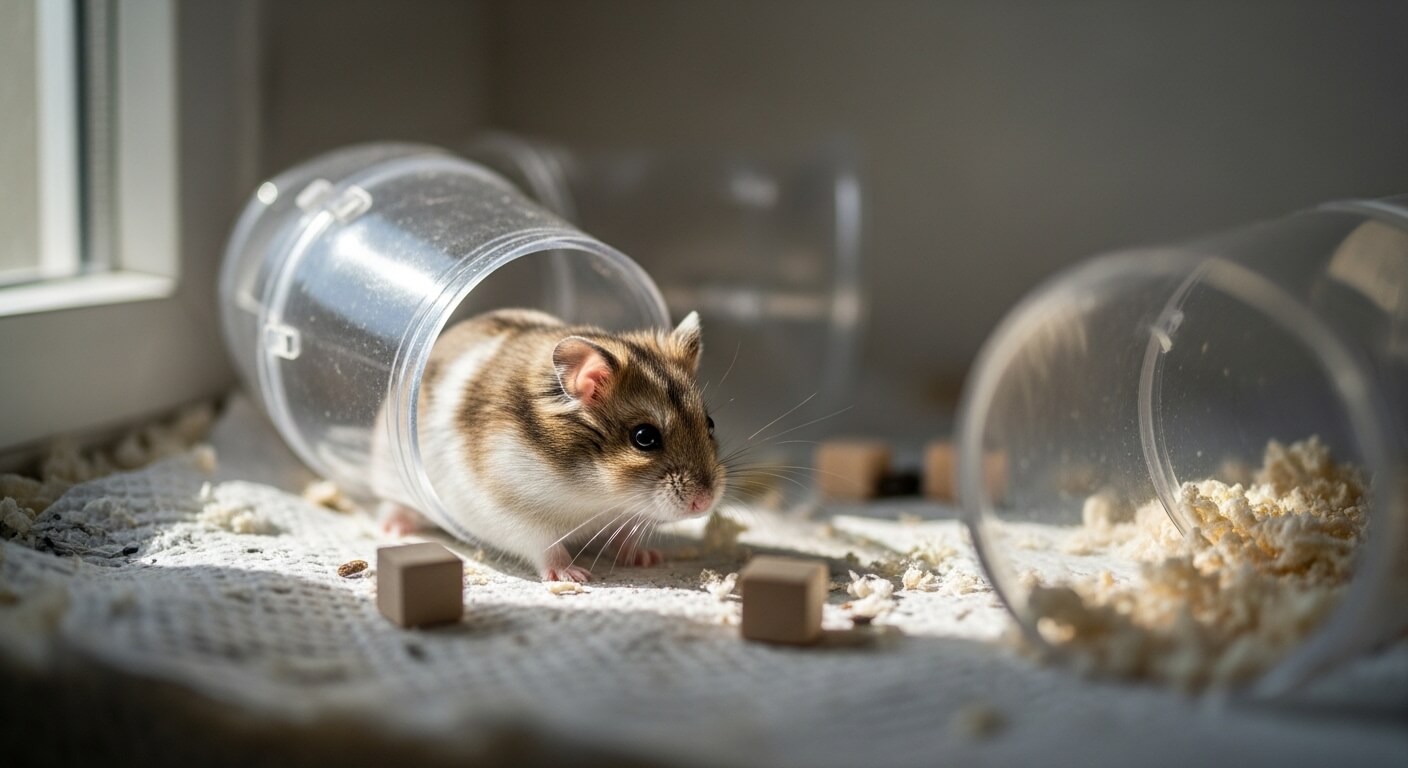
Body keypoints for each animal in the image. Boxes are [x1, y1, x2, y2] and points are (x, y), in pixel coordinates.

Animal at [387, 308, 724, 582]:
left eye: (710, 423)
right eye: (644, 437)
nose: (705, 503)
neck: (594, 492)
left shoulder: (622, 516)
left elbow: (625, 535)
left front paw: (648, 557)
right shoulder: (513, 512)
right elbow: (546, 548)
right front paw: (574, 576)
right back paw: (395, 529)